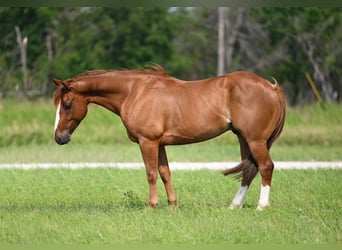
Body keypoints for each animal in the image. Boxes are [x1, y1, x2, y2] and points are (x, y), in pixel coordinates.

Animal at [52, 65, 286, 210]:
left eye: (67, 104)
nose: (59, 138)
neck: (135, 92)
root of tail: (271, 87)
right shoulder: (160, 143)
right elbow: (165, 172)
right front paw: (172, 205)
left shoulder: (148, 142)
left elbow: (151, 173)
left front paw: (152, 205)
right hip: (243, 139)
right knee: (249, 170)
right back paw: (234, 205)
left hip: (255, 140)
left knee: (265, 167)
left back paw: (261, 206)